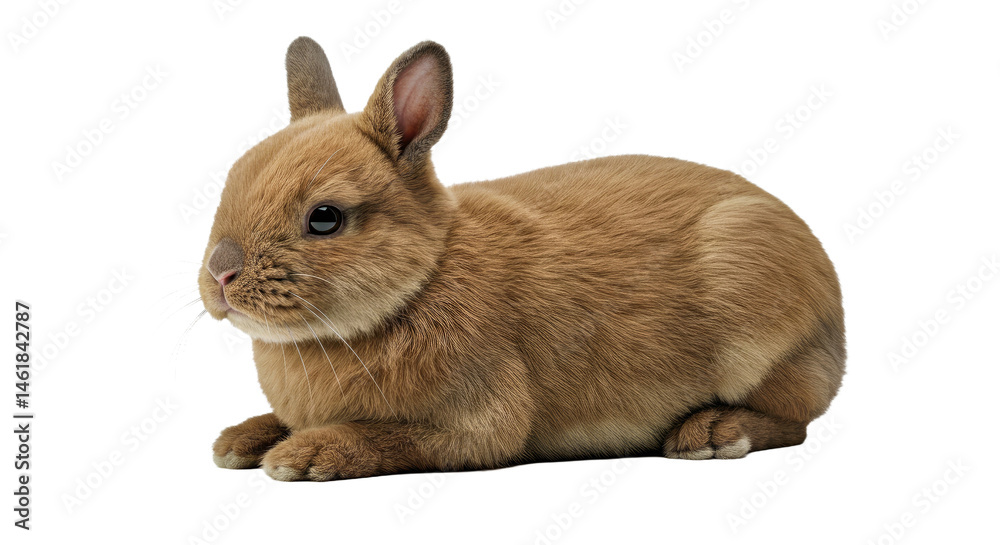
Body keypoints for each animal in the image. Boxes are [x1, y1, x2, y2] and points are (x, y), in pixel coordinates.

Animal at [200, 36, 845, 481]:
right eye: (229, 183)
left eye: (325, 217)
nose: (219, 275)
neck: (422, 281)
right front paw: (239, 443)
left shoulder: (470, 424)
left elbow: (389, 438)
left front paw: (302, 454)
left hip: (763, 340)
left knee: (797, 420)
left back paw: (712, 432)